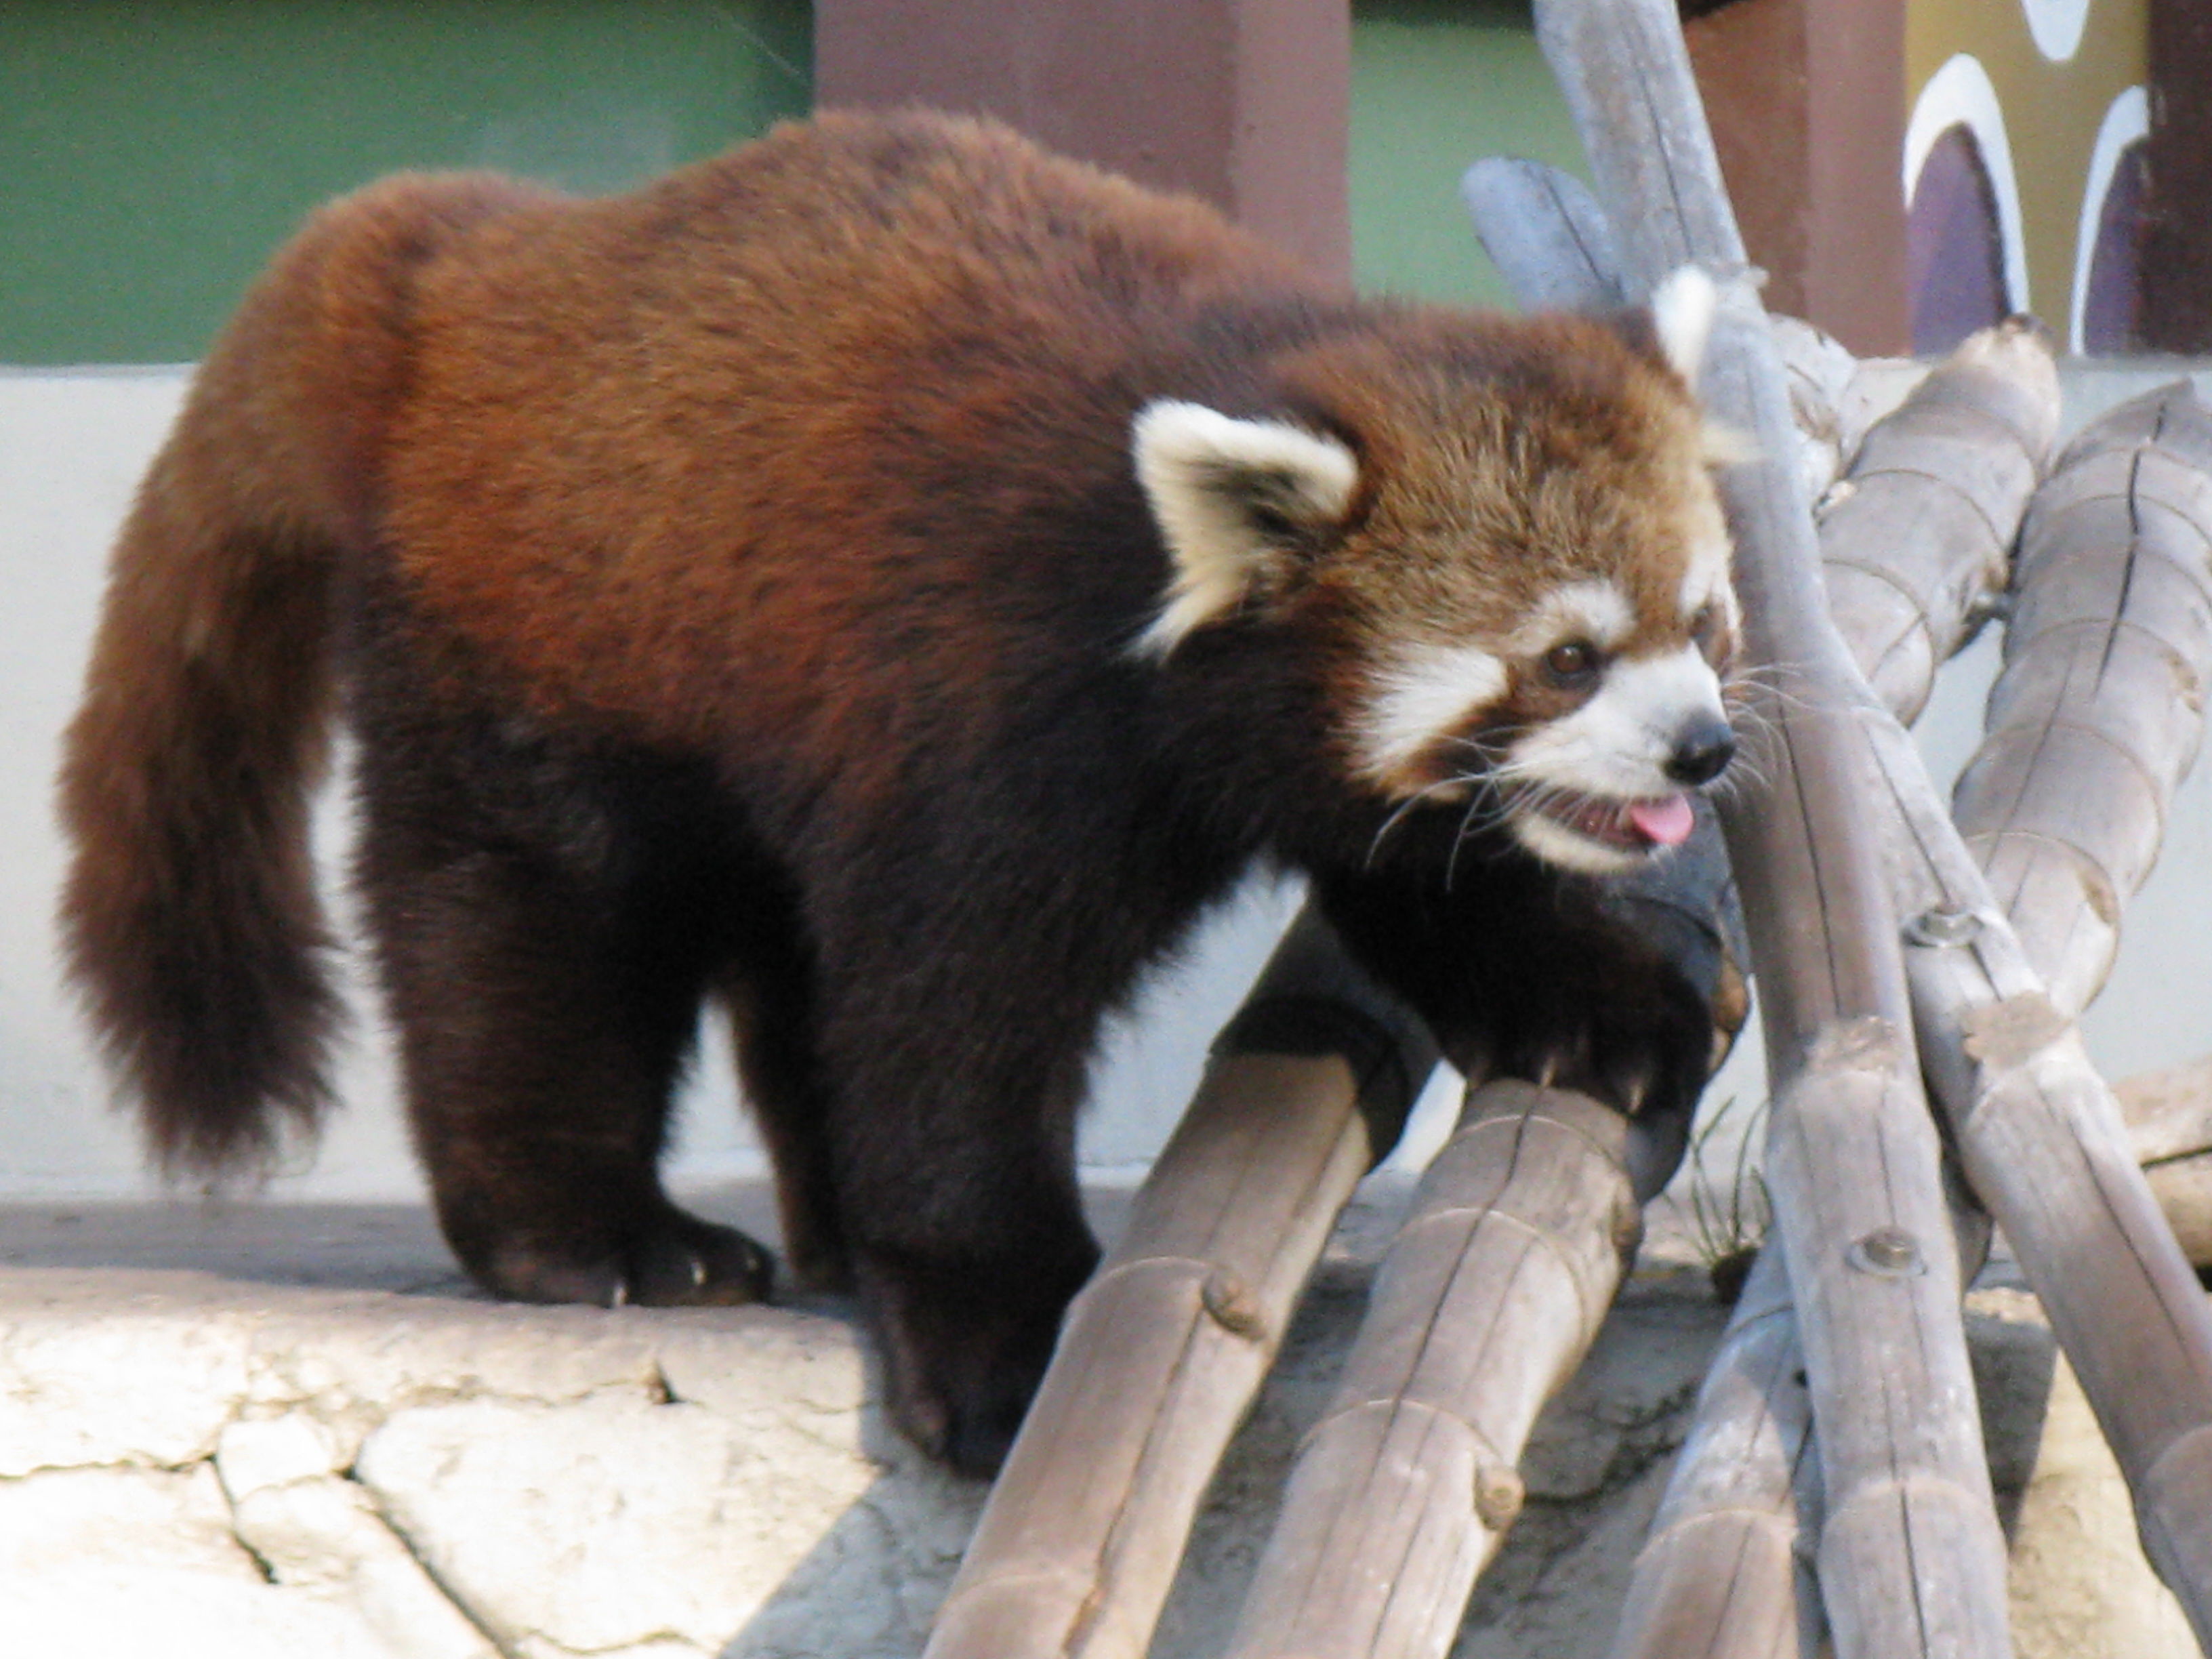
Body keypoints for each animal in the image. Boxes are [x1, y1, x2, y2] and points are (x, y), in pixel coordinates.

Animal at [56, 110, 1743, 1477]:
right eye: (1567, 659)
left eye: (1703, 623)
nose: (1705, 752)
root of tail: (485, 256)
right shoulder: (987, 693)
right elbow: (949, 1025)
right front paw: (1000, 1329)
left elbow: (1435, 882)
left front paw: (1600, 1001)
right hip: (550, 642)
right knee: (531, 929)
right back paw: (595, 1234)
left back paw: (821, 1232)